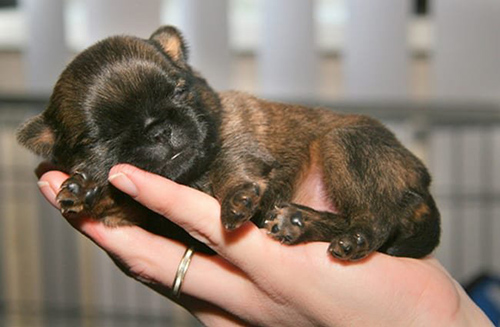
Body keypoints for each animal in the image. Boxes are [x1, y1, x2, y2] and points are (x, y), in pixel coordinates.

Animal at [15, 25, 440, 262]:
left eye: (180, 91)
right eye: (99, 138)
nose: (157, 129)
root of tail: (423, 184)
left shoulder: (238, 143)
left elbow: (232, 168)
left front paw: (236, 198)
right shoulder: (136, 209)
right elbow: (115, 195)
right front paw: (85, 185)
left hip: (346, 144)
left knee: (377, 217)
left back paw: (350, 238)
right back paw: (297, 223)